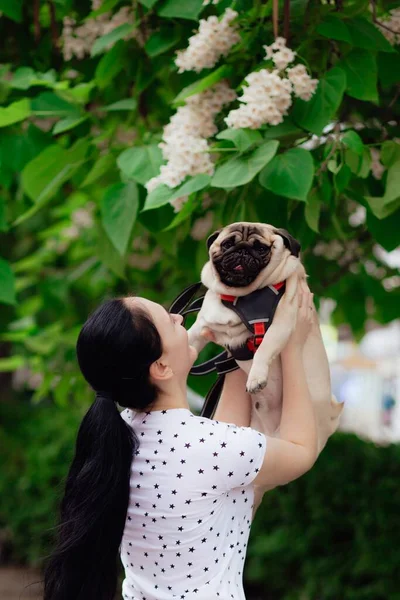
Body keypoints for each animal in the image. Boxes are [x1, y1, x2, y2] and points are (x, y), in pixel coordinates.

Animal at [188, 220, 344, 506]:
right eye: (227, 244)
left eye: (261, 248)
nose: (241, 251)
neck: (242, 297)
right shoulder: (202, 327)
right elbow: (185, 342)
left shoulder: (281, 323)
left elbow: (264, 350)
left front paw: (256, 378)